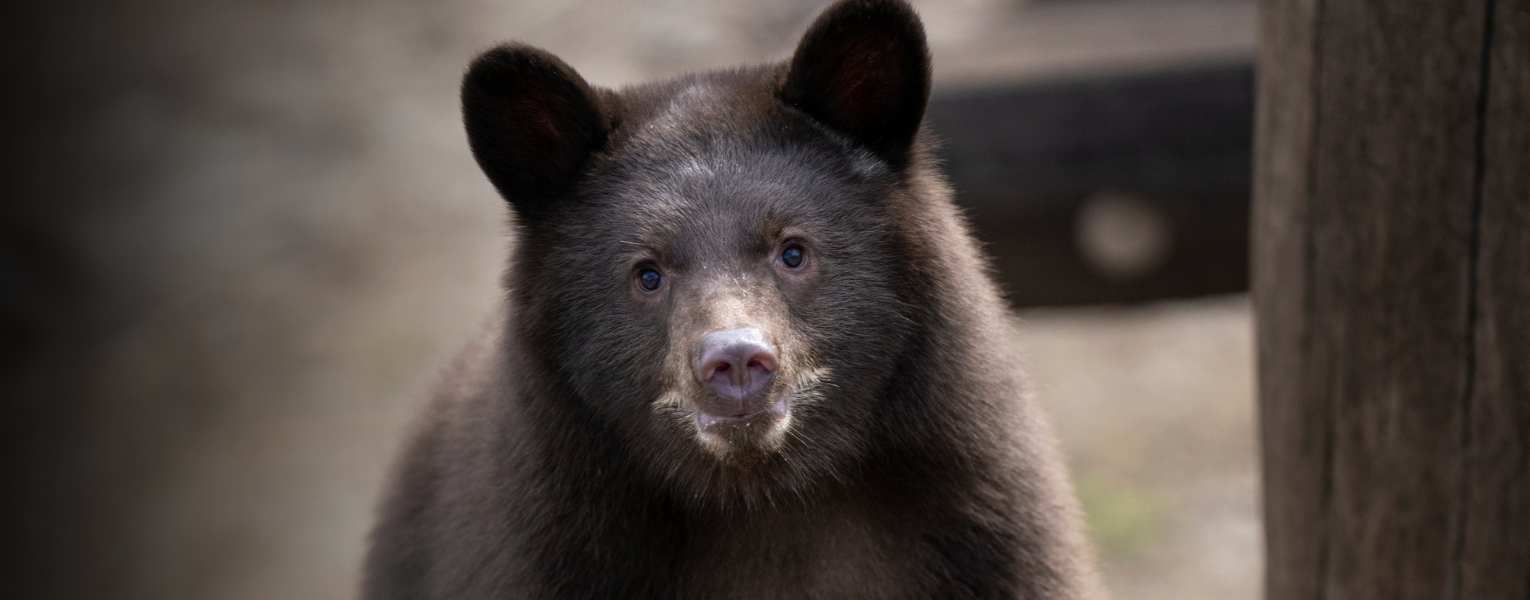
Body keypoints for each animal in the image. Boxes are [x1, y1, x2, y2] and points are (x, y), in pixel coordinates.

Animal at [362, 0, 1103, 598]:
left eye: (793, 251)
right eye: (647, 274)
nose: (737, 362)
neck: (767, 502)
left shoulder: (990, 534)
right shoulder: (550, 546)